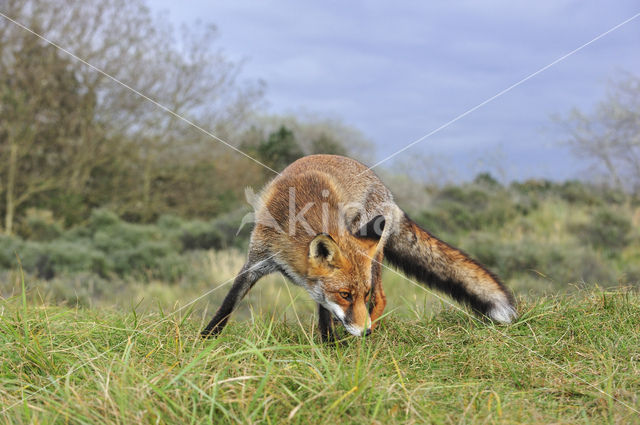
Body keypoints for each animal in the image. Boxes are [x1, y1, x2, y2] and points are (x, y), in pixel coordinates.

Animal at [202, 154, 516, 340]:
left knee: (382, 298)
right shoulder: (256, 260)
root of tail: (389, 194)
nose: (363, 332)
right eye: (344, 294)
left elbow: (325, 312)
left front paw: (328, 346)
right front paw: (207, 339)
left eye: (358, 294)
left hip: (375, 256)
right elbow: (228, 304)